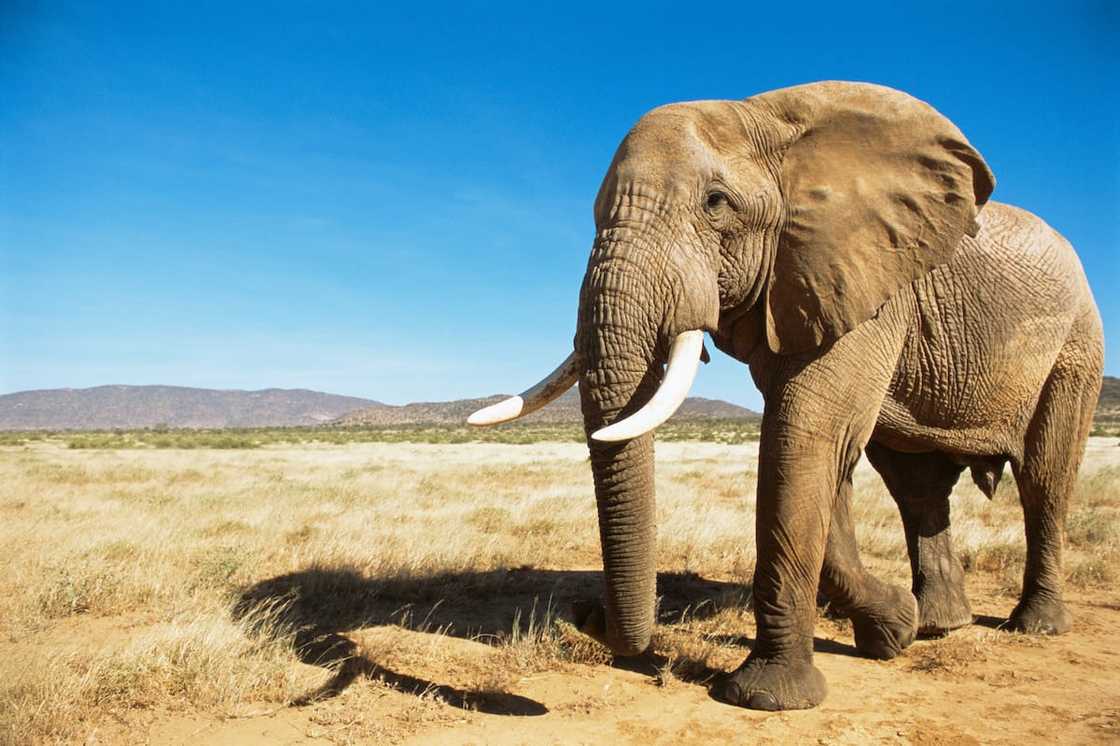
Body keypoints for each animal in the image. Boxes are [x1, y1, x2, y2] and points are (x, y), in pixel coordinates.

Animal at [463, 81, 1102, 707]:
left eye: (715, 203)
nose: (584, 612)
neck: (764, 118)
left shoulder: (864, 280)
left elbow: (804, 436)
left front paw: (767, 697)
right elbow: (820, 451)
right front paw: (893, 630)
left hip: (1076, 345)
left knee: (1044, 477)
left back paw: (1034, 626)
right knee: (916, 487)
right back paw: (940, 625)